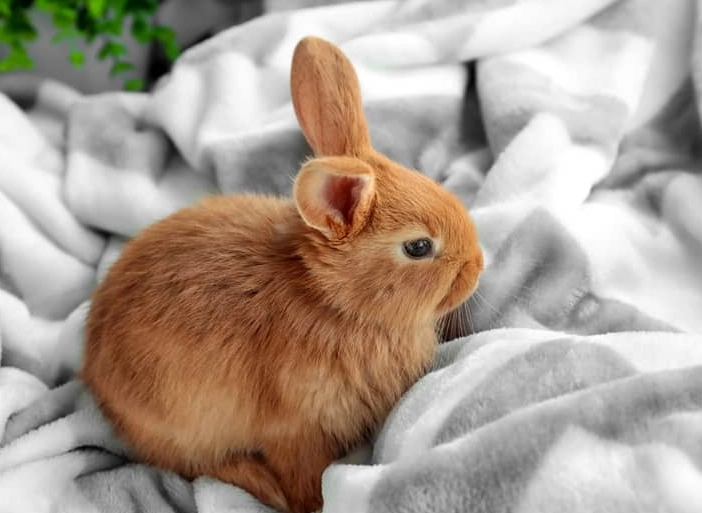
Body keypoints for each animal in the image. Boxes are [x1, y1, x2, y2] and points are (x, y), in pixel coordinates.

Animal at [81, 36, 483, 513]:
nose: (478, 266)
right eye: (418, 247)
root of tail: (92, 373)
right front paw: (312, 503)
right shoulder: (296, 428)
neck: (332, 300)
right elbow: (303, 472)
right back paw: (260, 483)